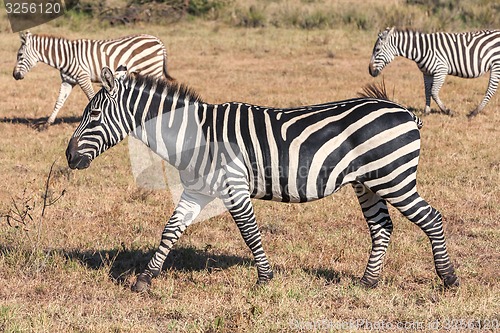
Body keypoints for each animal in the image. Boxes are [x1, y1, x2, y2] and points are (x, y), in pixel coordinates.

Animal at [12, 30, 172, 126]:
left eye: (19, 55)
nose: (14, 75)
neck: (66, 57)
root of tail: (157, 40)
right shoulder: (68, 81)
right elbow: (59, 101)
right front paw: (47, 124)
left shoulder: (83, 77)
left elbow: (91, 97)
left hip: (152, 69)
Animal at [66, 65, 460, 290]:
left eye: (94, 114)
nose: (69, 157)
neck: (196, 134)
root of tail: (405, 112)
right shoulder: (196, 190)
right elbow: (170, 230)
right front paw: (145, 280)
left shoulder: (233, 187)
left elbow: (250, 233)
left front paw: (265, 279)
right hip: (369, 184)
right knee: (382, 228)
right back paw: (367, 282)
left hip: (394, 178)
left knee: (432, 218)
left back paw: (449, 279)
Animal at [368, 27, 500, 118]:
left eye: (377, 50)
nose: (370, 71)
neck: (422, 50)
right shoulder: (427, 73)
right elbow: (427, 91)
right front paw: (427, 111)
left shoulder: (441, 70)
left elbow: (433, 92)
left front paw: (448, 111)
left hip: (496, 64)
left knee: (491, 90)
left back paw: (474, 112)